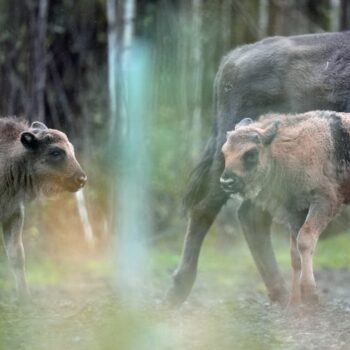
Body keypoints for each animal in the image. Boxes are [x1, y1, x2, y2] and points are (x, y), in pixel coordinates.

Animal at [0, 118, 87, 298]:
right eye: (55, 152)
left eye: (72, 149)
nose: (82, 179)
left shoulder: (13, 213)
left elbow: (17, 254)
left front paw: (25, 297)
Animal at [220, 111, 350, 304]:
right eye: (224, 152)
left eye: (251, 153)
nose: (226, 181)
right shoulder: (295, 211)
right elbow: (294, 254)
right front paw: (294, 302)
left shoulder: (324, 201)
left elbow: (305, 241)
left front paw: (310, 296)